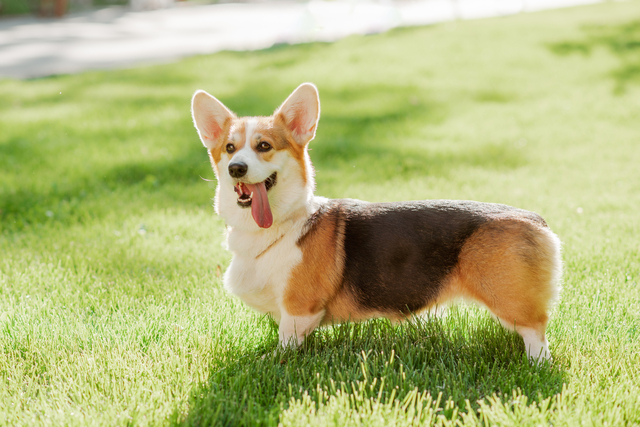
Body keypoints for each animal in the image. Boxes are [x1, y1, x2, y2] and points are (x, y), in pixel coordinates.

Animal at [190, 83, 560, 362]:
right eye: (230, 148)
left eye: (263, 146)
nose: (236, 168)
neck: (277, 227)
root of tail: (539, 222)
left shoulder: (299, 309)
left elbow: (285, 343)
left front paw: (271, 361)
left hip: (510, 300)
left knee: (536, 334)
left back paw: (535, 365)